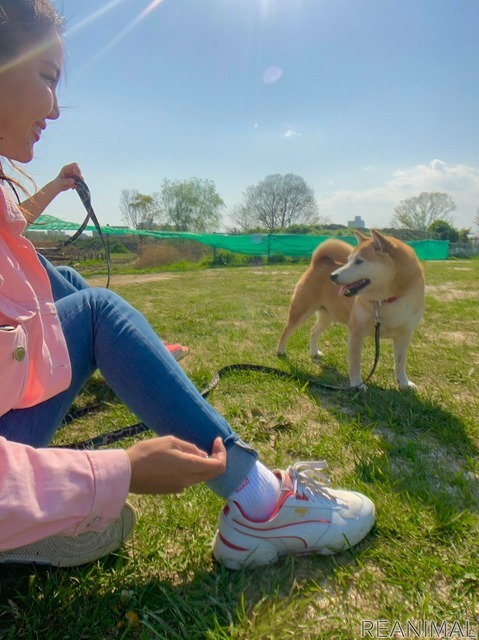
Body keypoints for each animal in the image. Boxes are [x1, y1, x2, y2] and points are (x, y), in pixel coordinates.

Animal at [278, 230, 428, 390]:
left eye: (359, 261)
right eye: (349, 260)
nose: (332, 276)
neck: (386, 300)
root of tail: (319, 262)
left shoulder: (404, 335)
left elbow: (400, 362)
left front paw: (404, 383)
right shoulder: (356, 332)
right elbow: (355, 361)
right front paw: (357, 384)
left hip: (327, 317)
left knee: (313, 331)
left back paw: (314, 353)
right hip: (301, 311)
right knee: (286, 330)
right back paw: (281, 351)